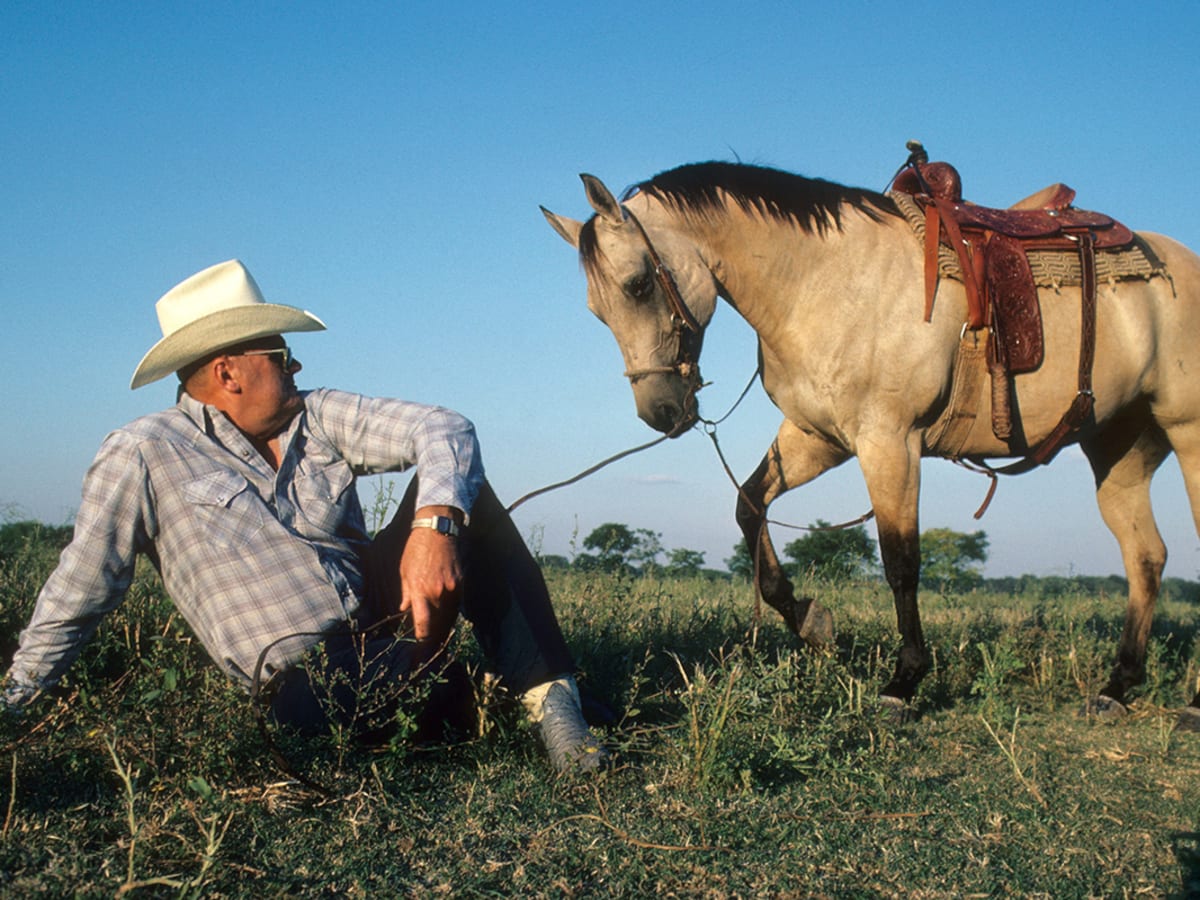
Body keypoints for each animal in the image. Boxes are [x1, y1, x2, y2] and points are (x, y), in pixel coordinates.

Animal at [544, 146, 1200, 724]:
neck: (827, 282)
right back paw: (1117, 687)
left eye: (637, 285)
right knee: (1145, 557)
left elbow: (900, 561)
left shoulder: (890, 442)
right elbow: (750, 507)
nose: (660, 412)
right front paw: (810, 622)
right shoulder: (819, 438)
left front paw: (903, 681)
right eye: (598, 310)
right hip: (1118, 447)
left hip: (1187, 436)